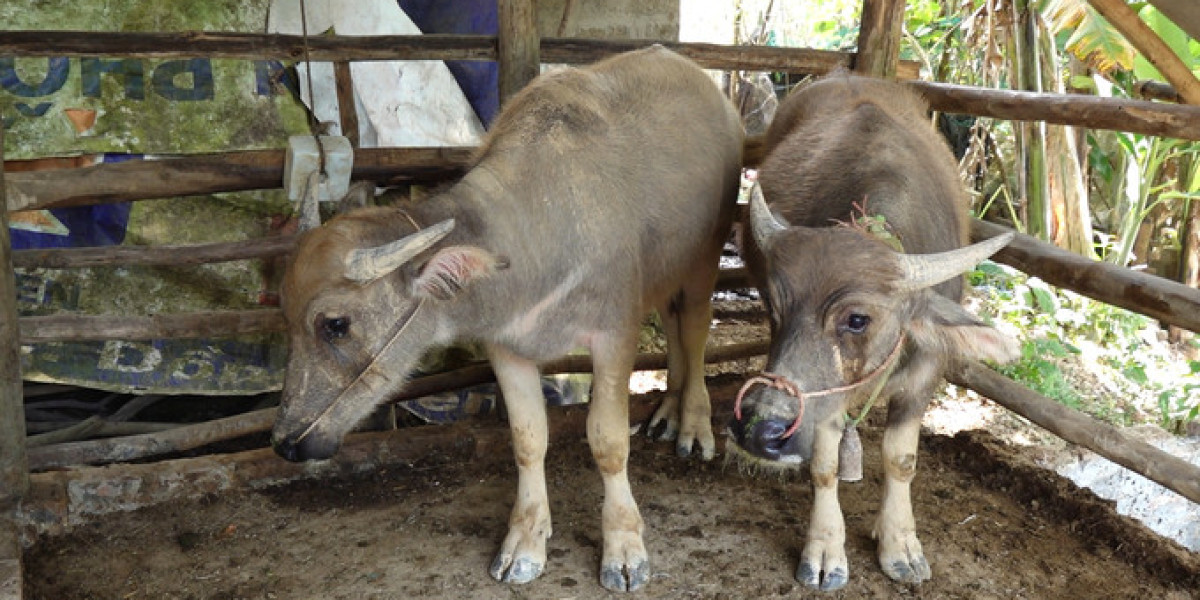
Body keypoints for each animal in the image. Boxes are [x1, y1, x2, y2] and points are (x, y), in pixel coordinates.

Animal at [267, 46, 744, 590]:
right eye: (284, 314)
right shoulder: (506, 347)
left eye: (336, 324)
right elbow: (527, 439)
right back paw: (667, 410)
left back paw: (693, 425)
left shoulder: (614, 334)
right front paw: (525, 543)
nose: (285, 444)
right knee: (671, 318)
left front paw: (624, 548)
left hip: (707, 253)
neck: (536, 232)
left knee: (696, 326)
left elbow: (607, 439)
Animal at [724, 71, 1017, 590]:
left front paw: (900, 543)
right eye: (777, 309)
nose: (760, 429)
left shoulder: (925, 374)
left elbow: (901, 460)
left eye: (857, 318)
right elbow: (824, 466)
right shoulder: (826, 397)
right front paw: (825, 550)